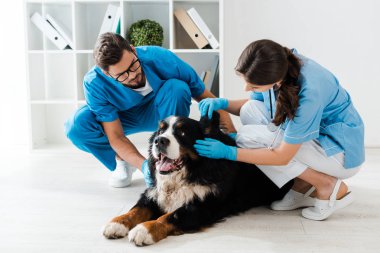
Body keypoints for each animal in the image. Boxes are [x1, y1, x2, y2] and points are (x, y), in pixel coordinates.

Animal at [102, 112, 292, 245]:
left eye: (182, 132)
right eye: (160, 130)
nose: (159, 140)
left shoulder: (203, 206)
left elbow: (171, 215)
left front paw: (144, 229)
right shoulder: (152, 193)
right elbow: (136, 210)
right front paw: (117, 223)